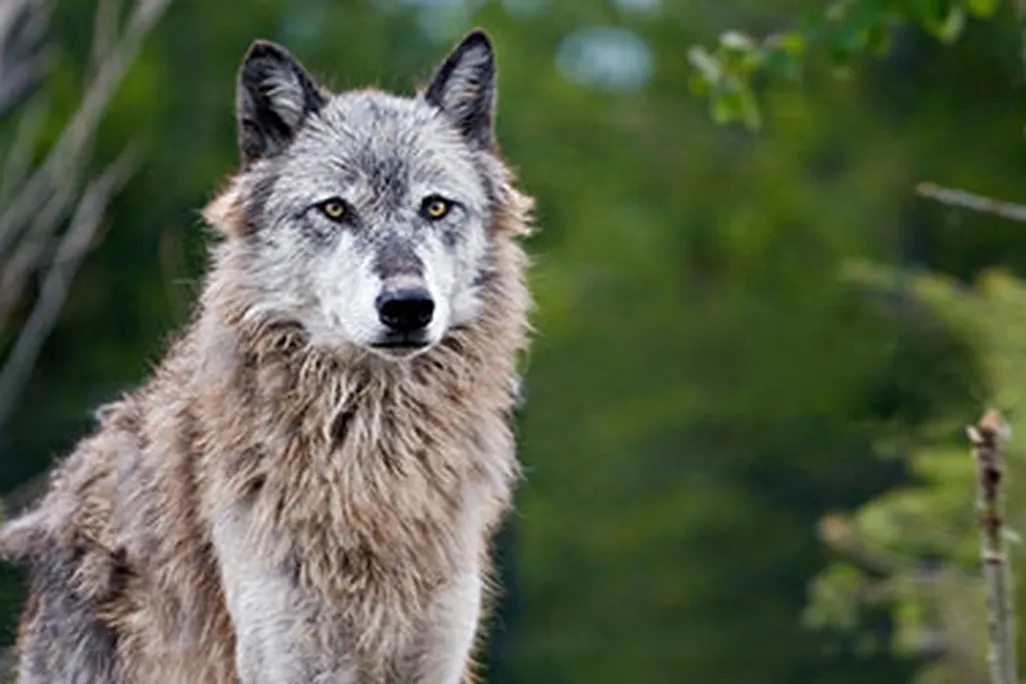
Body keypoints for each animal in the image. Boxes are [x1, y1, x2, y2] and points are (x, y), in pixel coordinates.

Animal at [0, 27, 533, 684]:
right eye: (335, 209)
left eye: (435, 207)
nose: (408, 306)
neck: (370, 455)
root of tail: (61, 492)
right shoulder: (287, 659)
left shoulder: (437, 657)